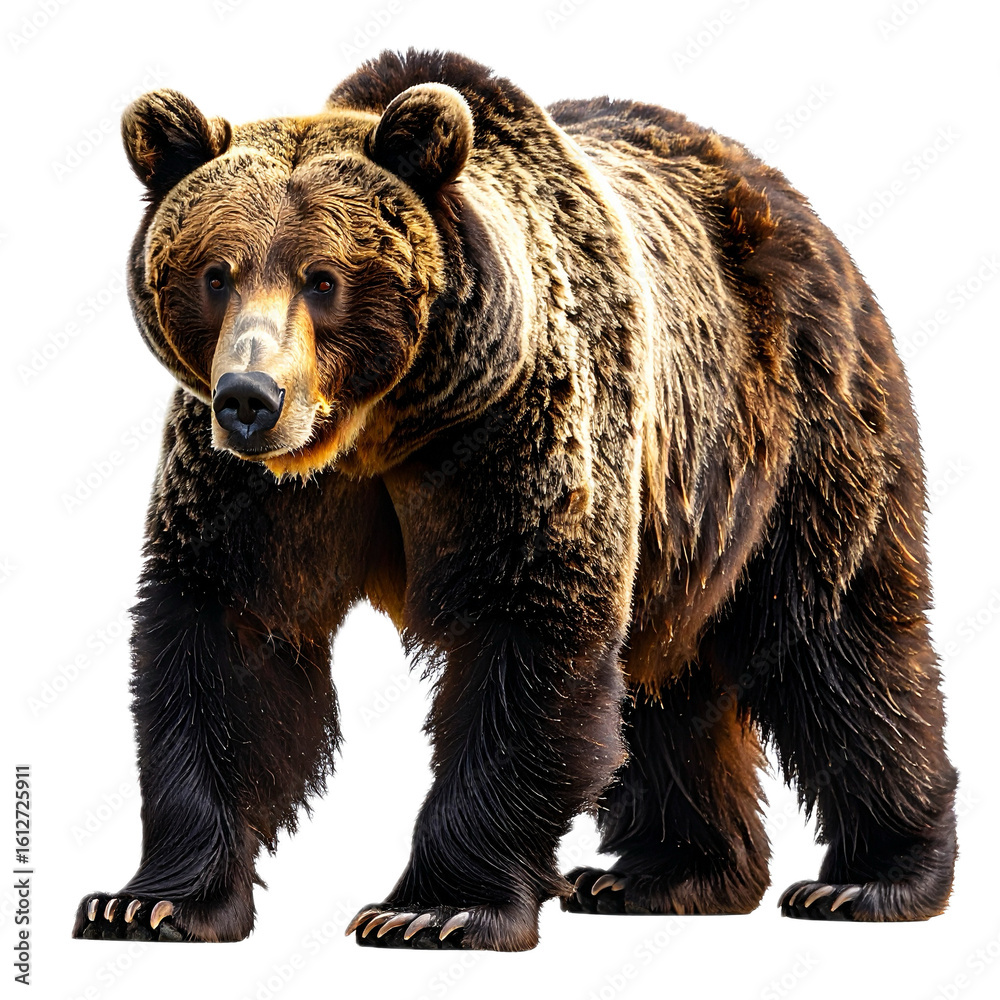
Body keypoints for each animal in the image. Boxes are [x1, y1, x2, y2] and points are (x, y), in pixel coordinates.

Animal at [72, 48, 957, 950]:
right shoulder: (259, 492)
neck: (384, 427)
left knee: (838, 643)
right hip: (683, 520)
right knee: (668, 679)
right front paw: (150, 901)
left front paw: (432, 908)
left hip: (794, 433)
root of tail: (790, 202)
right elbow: (226, 636)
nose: (250, 399)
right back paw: (666, 874)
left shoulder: (519, 434)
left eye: (323, 278)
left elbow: (527, 636)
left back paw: (872, 879)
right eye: (215, 273)